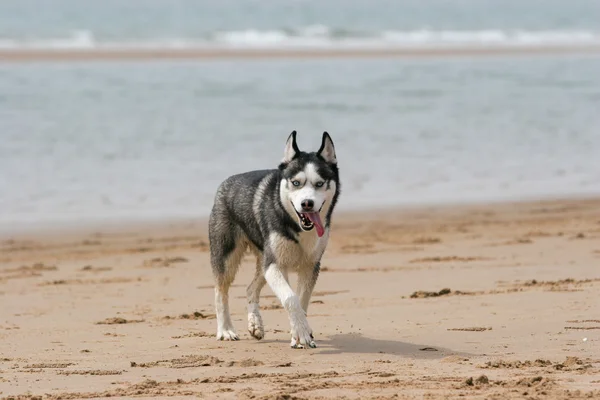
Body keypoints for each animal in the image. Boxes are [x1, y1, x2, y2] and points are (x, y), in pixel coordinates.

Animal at [209, 132, 340, 350]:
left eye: (320, 183)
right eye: (296, 183)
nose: (307, 203)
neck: (295, 225)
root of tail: (227, 182)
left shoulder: (310, 265)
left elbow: (301, 301)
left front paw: (299, 333)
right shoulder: (275, 264)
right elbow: (290, 298)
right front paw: (301, 333)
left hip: (263, 259)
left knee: (250, 289)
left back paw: (255, 324)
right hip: (227, 256)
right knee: (220, 291)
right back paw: (225, 330)